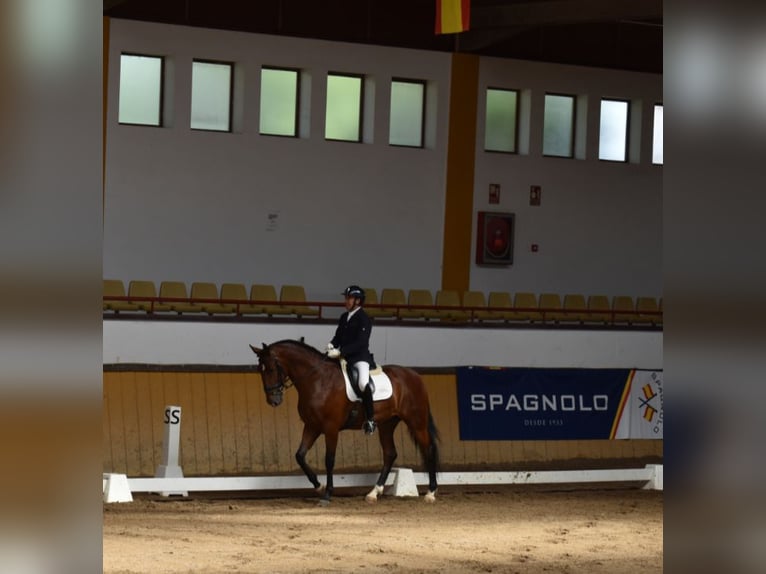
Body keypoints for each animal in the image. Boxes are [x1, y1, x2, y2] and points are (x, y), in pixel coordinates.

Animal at [249, 339, 440, 504]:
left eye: (272, 369)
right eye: (260, 369)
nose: (273, 401)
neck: (317, 380)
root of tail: (414, 375)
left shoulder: (330, 428)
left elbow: (329, 459)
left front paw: (327, 494)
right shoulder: (312, 426)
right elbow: (300, 455)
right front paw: (319, 486)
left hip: (416, 421)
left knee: (428, 449)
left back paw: (430, 493)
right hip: (387, 424)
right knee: (390, 453)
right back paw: (373, 493)